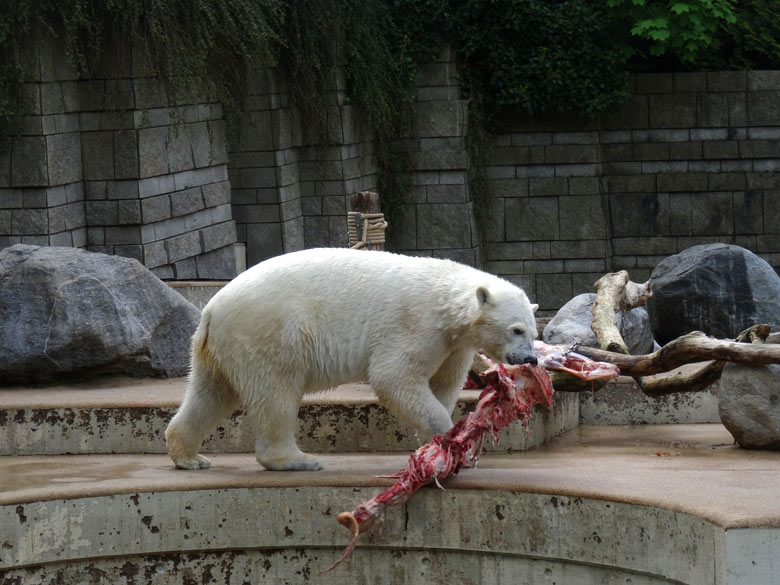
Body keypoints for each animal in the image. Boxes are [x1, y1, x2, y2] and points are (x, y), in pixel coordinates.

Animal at [166, 246, 536, 470]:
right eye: (517, 330)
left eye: (534, 332)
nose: (529, 359)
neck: (446, 300)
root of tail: (211, 308)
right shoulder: (417, 324)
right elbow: (393, 376)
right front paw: (452, 440)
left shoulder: (453, 344)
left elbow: (443, 384)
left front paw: (433, 443)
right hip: (268, 334)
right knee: (275, 395)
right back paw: (298, 460)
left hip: (219, 348)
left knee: (211, 393)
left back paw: (189, 456)